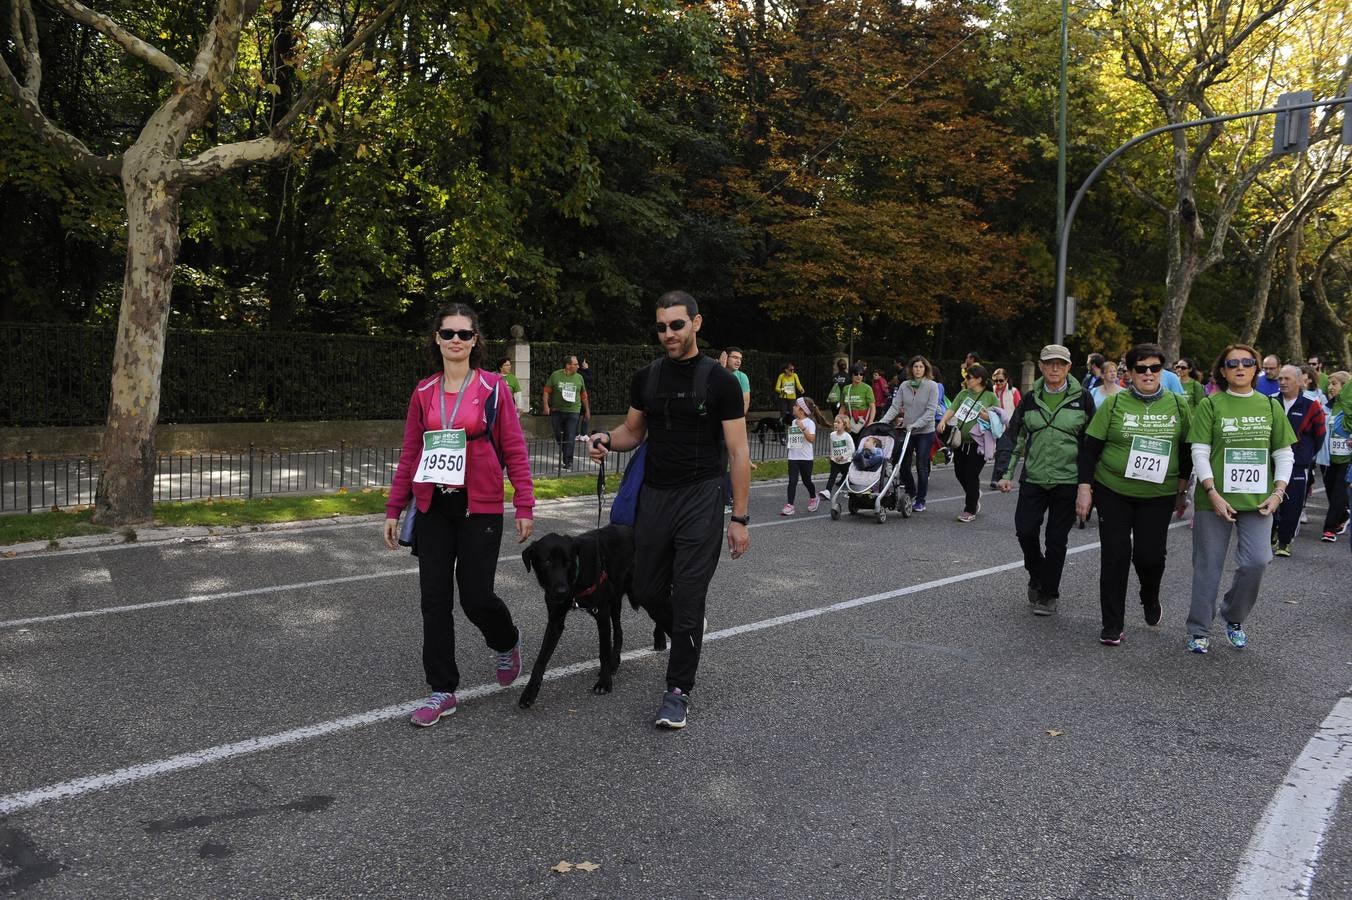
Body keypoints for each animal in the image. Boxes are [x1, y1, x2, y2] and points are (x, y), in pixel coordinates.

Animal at [516, 518, 665, 708]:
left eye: (568, 562)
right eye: (547, 562)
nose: (562, 591)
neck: (575, 580)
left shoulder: (601, 613)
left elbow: (603, 651)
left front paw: (604, 683)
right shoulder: (555, 620)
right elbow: (541, 659)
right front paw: (529, 692)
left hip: (638, 590)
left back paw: (660, 639)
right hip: (615, 599)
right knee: (619, 631)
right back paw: (615, 662)